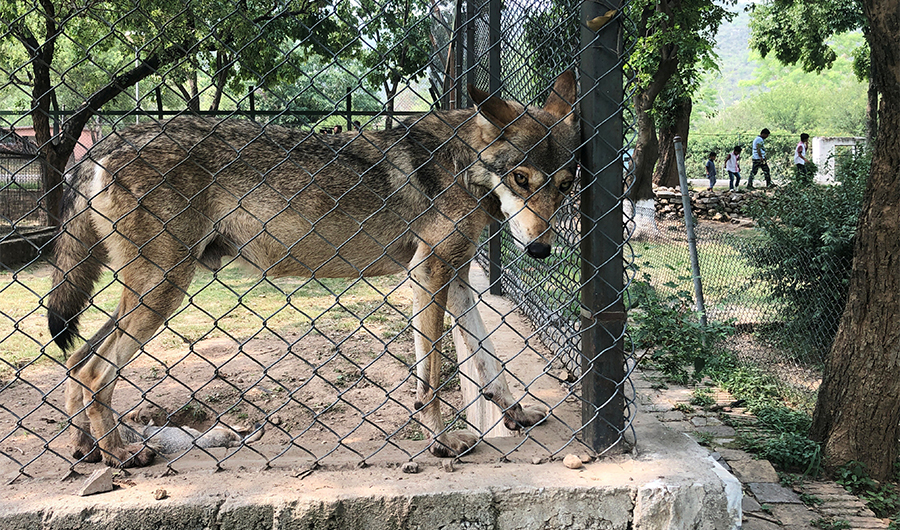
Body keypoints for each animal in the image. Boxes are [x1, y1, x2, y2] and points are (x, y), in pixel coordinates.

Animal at [46, 71, 578, 467]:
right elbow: (429, 378)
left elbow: (491, 364)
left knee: (77, 361)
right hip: (163, 289)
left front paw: (516, 414)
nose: (540, 250)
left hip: (147, 292)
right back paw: (120, 453)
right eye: (521, 179)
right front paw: (442, 442)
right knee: (94, 370)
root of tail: (112, 138)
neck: (465, 164)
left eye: (565, 186)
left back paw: (87, 449)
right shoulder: (428, 274)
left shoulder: (458, 276)